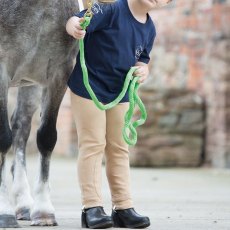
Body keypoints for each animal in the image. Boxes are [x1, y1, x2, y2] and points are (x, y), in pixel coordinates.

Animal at [0, 0, 81, 227]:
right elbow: (3, 139)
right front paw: (4, 212)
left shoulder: (59, 73)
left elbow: (46, 137)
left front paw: (43, 210)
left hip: (29, 83)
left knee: (21, 126)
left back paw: (24, 203)